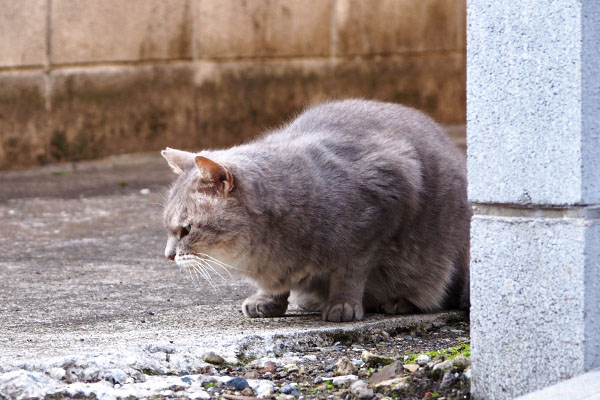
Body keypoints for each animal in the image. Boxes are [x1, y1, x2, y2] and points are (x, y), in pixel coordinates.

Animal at [162, 99, 472, 322]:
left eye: (186, 230)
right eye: (169, 228)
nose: (168, 256)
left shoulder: (380, 215)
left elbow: (350, 272)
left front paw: (342, 304)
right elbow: (276, 286)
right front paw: (267, 301)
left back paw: (399, 301)